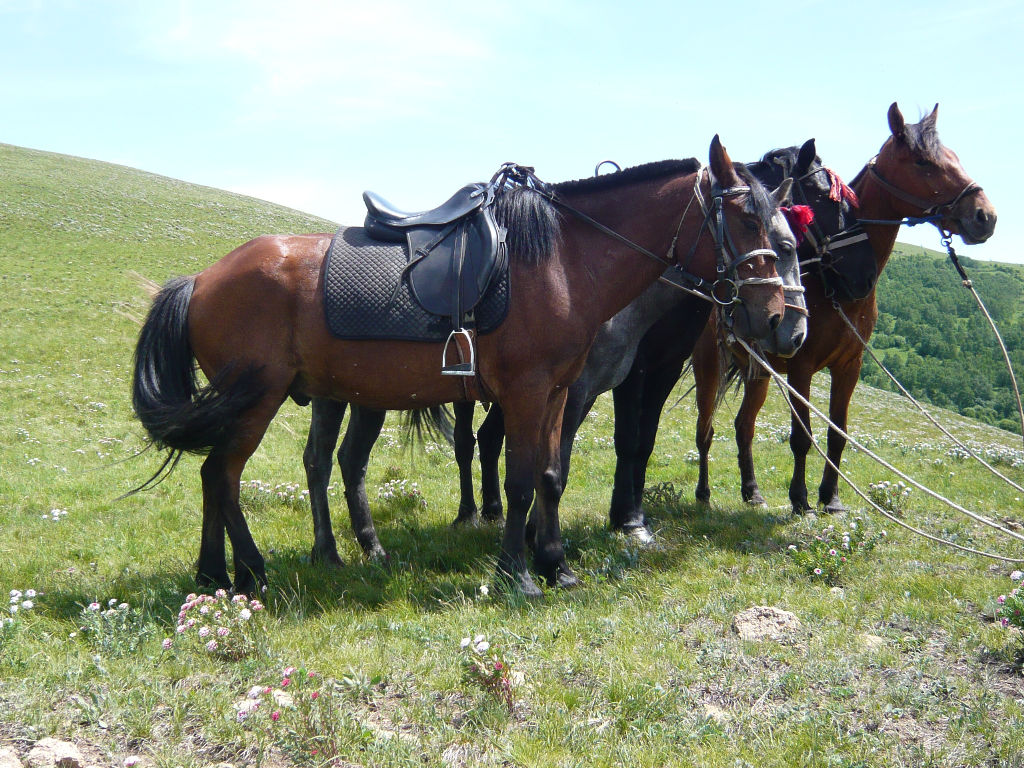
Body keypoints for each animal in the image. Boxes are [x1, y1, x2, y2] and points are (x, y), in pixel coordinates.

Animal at [131, 137, 787, 596]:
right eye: (747, 220)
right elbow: (519, 480)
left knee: (229, 475)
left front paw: (556, 565)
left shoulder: (558, 393)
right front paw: (517, 572)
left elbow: (551, 476)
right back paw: (252, 570)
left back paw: (218, 574)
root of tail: (201, 280)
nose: (776, 314)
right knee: (223, 475)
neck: (560, 258)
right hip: (258, 400)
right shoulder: (526, 393)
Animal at [691, 103, 996, 513]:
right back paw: (704, 493)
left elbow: (838, 434)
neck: (833, 290)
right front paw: (800, 499)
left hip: (759, 372)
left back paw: (752, 491)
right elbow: (801, 436)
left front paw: (831, 497)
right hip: (709, 364)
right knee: (705, 430)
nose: (985, 216)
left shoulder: (850, 365)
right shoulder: (801, 367)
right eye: (924, 163)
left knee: (744, 426)